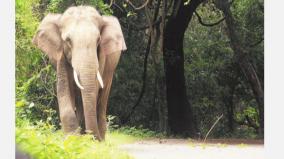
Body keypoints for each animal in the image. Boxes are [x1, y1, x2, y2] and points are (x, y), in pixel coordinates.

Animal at [31, 5, 127, 141]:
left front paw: (86, 139)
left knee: (102, 98)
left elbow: (95, 88)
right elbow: (64, 87)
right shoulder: (61, 54)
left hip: (111, 69)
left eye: (98, 40)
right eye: (68, 40)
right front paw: (72, 139)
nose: (94, 138)